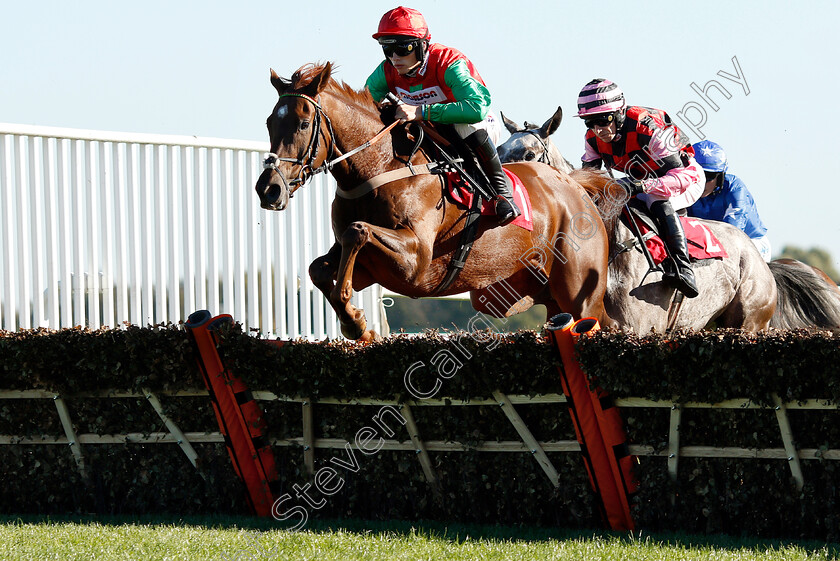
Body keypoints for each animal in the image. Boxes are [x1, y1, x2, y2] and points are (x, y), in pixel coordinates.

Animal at [253, 63, 612, 340]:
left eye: (303, 123)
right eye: (270, 123)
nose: (269, 190)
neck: (382, 167)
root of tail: (575, 187)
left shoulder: (414, 262)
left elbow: (358, 230)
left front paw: (356, 322)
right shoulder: (371, 266)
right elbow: (318, 268)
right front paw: (356, 321)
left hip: (580, 293)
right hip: (542, 293)